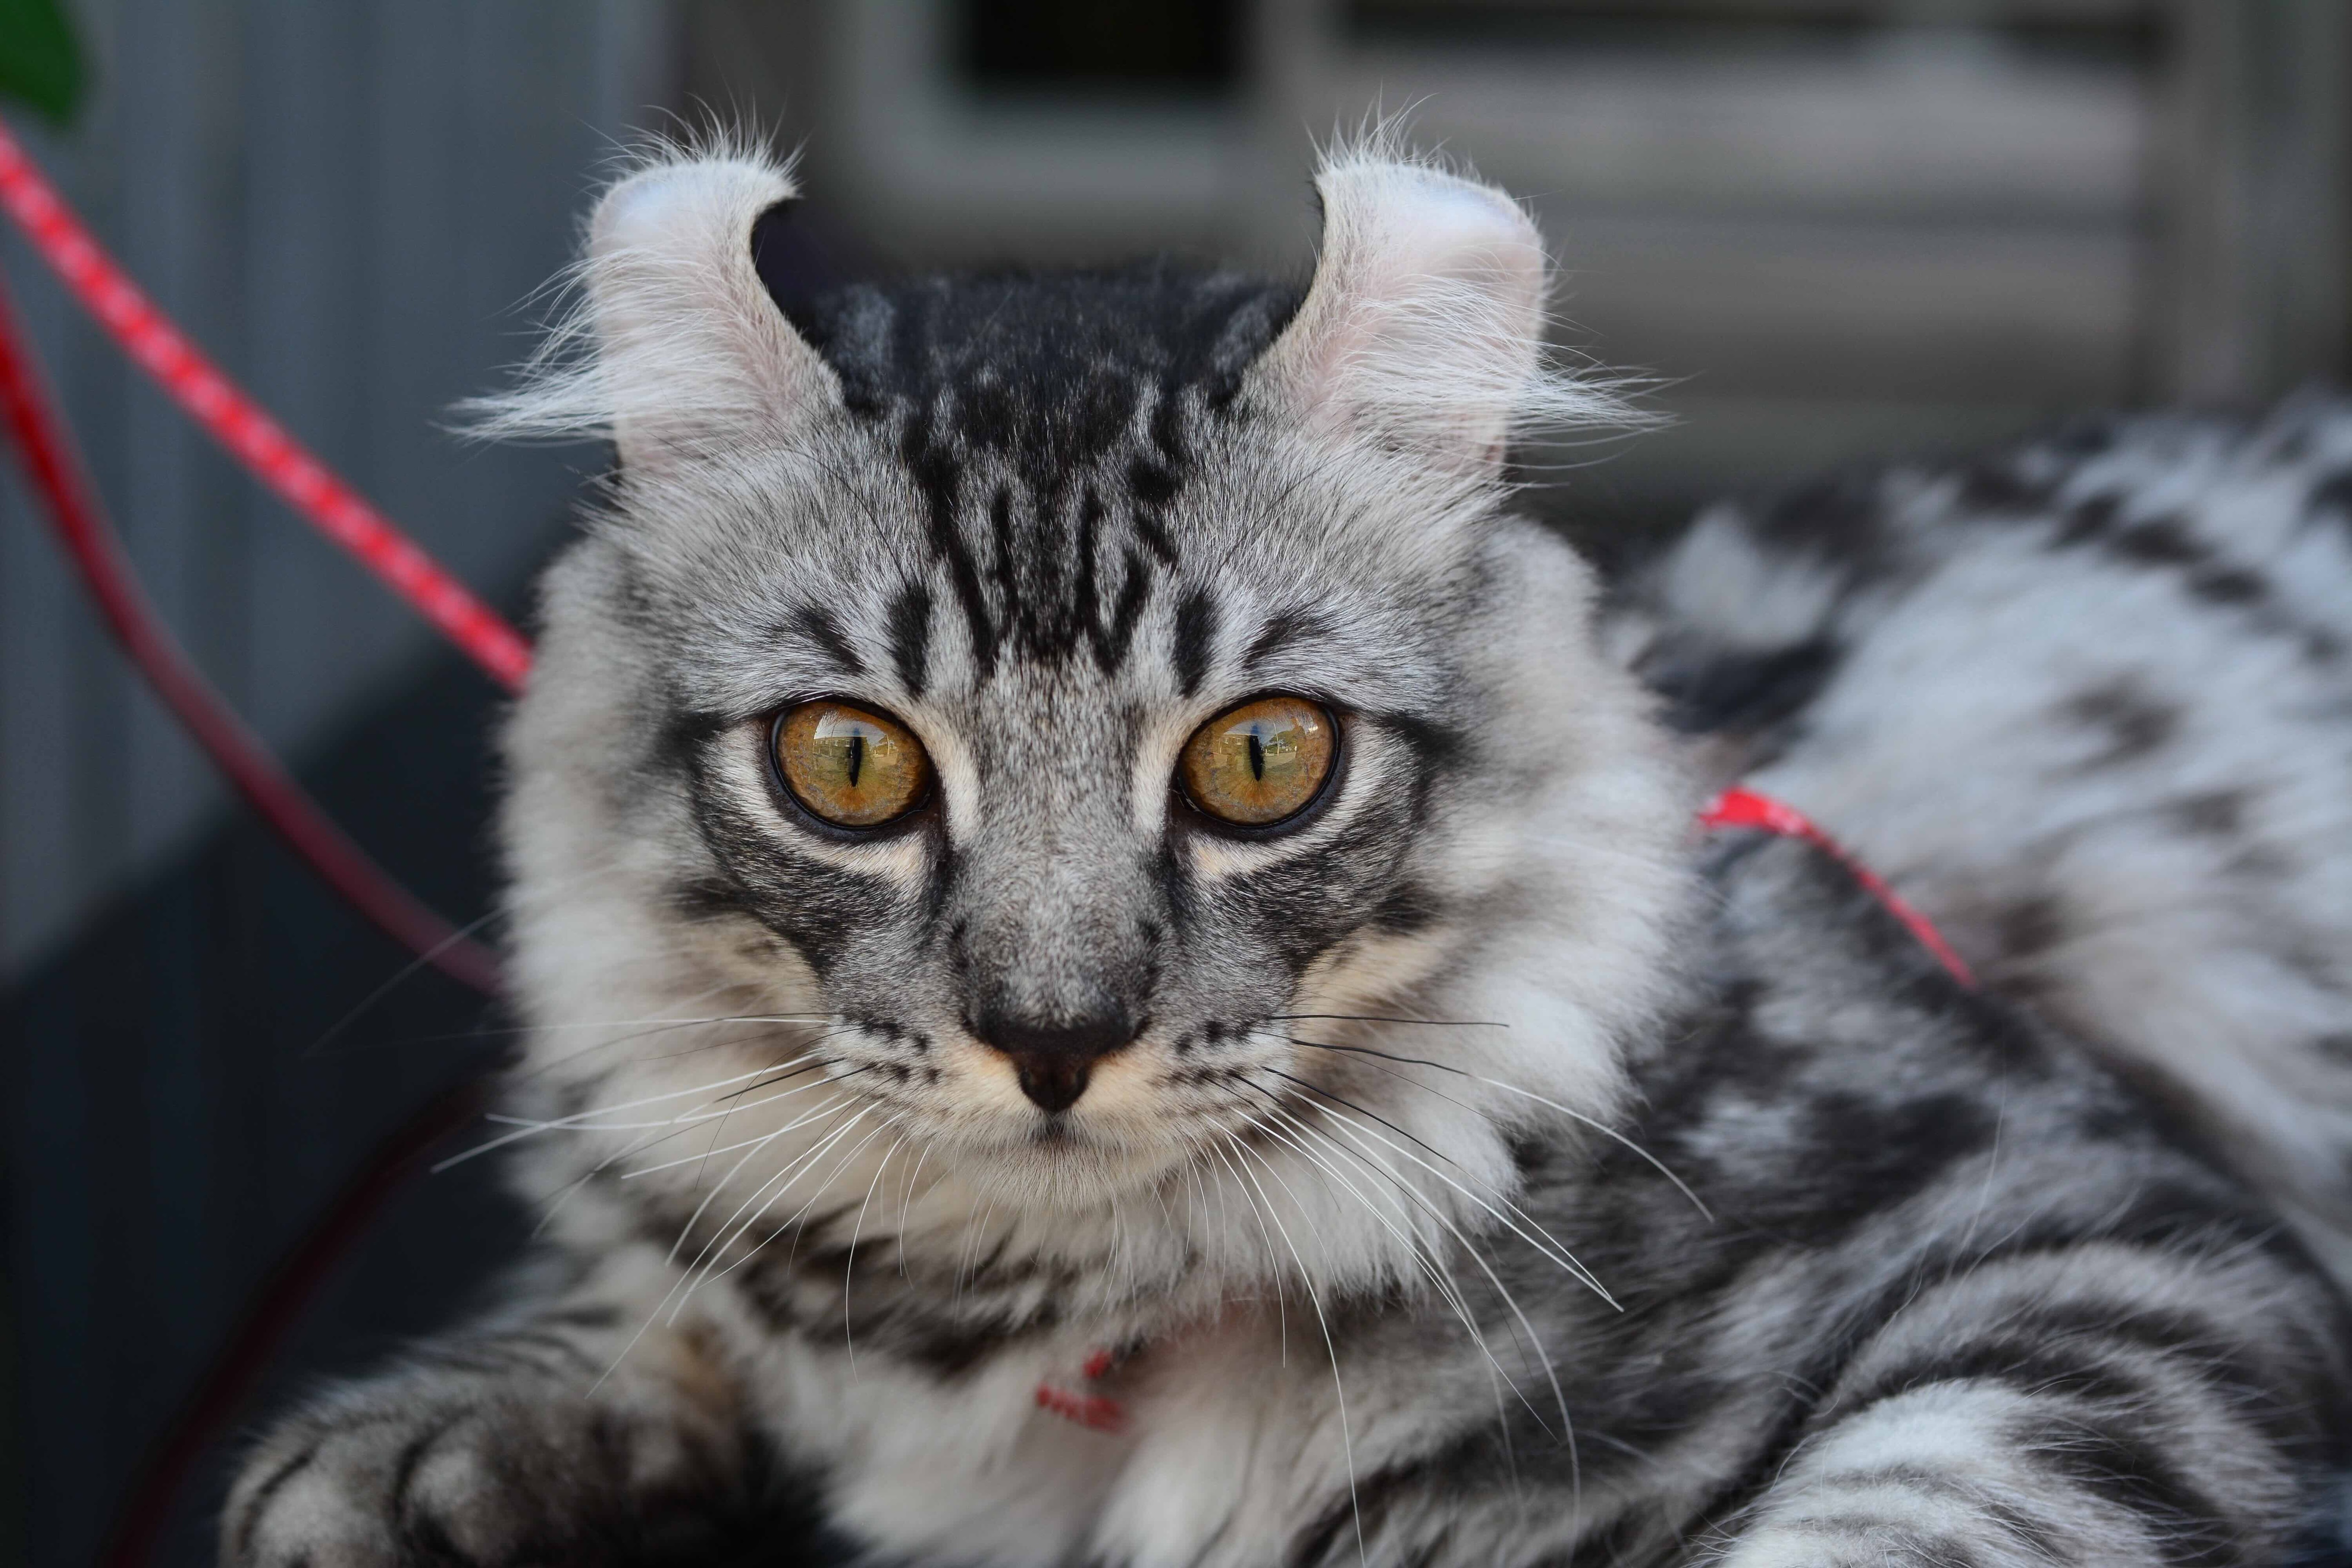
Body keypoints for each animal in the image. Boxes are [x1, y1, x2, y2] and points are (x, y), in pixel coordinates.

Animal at [221, 138, 2352, 1568]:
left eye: (1262, 761)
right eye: (849, 763)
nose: (1052, 1035)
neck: (1042, 1320)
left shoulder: (2111, 1249)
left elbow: (1884, 1517)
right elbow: (625, 1297)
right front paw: (393, 1451)